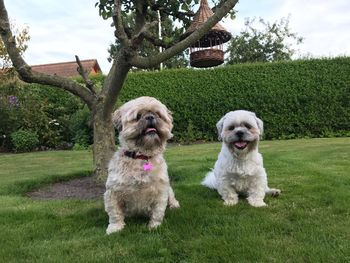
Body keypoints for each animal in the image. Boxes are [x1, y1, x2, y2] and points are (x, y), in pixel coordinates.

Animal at [104, 95, 179, 235]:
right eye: (138, 116)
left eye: (158, 114)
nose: (150, 117)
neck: (141, 156)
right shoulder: (113, 193)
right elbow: (115, 214)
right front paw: (115, 228)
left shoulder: (161, 191)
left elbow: (157, 212)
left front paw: (154, 226)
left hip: (169, 190)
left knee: (172, 198)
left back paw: (174, 205)